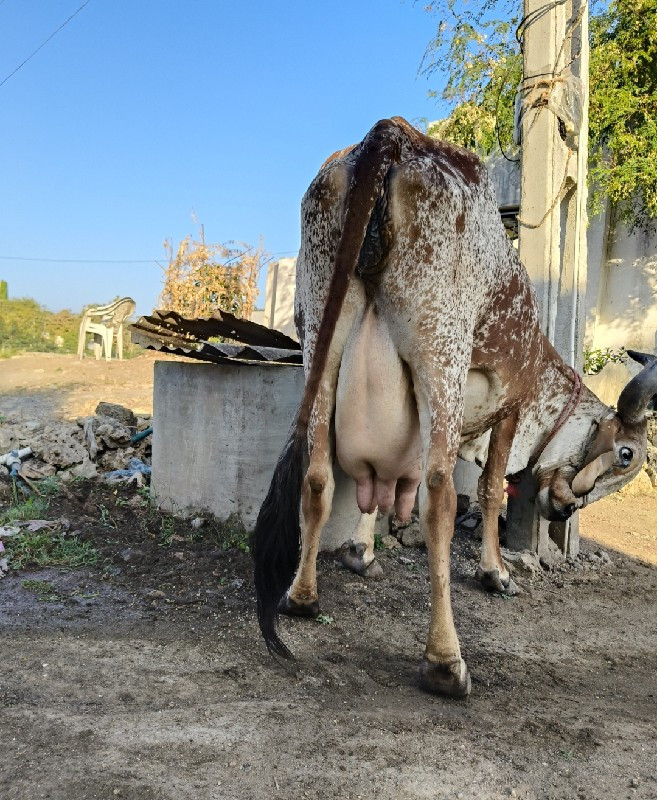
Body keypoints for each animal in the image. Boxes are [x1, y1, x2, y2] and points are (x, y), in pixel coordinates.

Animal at [250, 119, 656, 700]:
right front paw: (495, 572)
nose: (563, 513)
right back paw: (446, 660)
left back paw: (303, 596)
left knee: (318, 475)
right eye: (626, 455)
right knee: (439, 492)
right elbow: (488, 490)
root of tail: (391, 136)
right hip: (440, 347)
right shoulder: (509, 409)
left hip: (318, 340)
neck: (540, 356)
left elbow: (378, 487)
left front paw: (360, 553)